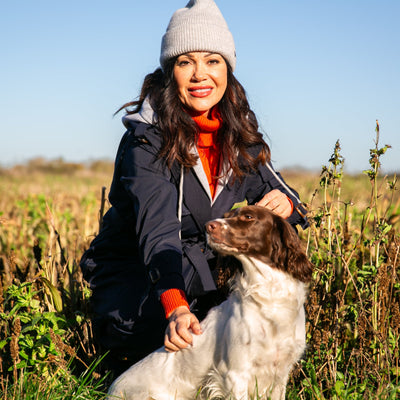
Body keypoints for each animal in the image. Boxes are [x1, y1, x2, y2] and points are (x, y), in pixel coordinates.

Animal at [108, 206, 314, 400]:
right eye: (227, 215)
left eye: (248, 216)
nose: (209, 226)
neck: (269, 293)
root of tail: (110, 390)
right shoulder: (235, 373)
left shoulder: (280, 375)